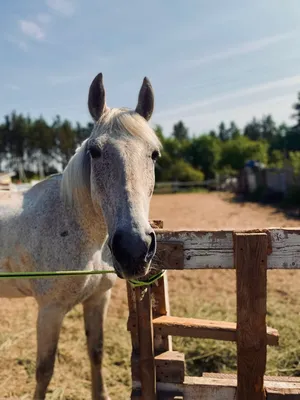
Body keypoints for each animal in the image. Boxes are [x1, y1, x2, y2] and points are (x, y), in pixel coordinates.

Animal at [0, 72, 162, 400]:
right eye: (95, 151)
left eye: (154, 154)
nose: (134, 248)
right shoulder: (49, 311)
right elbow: (44, 371)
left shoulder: (98, 300)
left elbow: (95, 352)